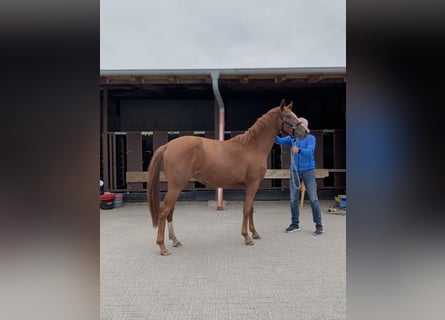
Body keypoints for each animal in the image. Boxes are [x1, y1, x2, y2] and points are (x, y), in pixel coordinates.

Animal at [147, 99, 306, 256]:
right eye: (288, 116)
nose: (305, 132)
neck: (253, 147)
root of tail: (167, 146)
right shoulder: (253, 184)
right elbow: (246, 209)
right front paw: (247, 237)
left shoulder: (251, 185)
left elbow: (251, 208)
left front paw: (254, 233)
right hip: (176, 186)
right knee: (164, 210)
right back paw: (162, 247)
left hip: (176, 186)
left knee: (170, 211)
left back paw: (175, 240)